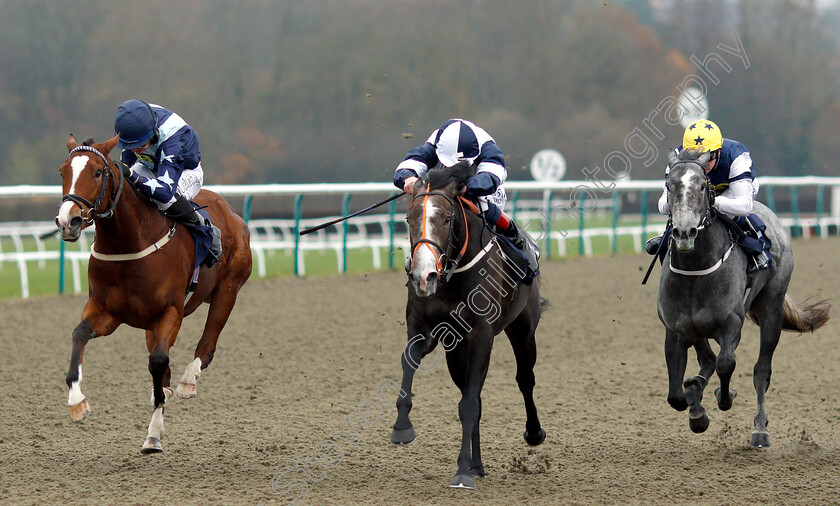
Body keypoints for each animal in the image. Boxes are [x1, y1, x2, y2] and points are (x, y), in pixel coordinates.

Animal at [56, 132, 253, 452]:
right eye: (63, 171)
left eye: (97, 172)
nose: (67, 221)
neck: (128, 243)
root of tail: (229, 209)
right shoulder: (105, 311)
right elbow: (79, 334)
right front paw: (77, 402)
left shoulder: (170, 311)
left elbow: (159, 361)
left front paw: (153, 435)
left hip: (228, 289)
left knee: (206, 346)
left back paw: (187, 382)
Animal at [390, 166, 548, 490]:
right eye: (409, 218)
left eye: (446, 218)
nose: (423, 276)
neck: (452, 275)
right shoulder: (424, 329)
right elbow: (410, 361)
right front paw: (402, 427)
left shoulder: (481, 336)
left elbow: (468, 406)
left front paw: (462, 471)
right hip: (456, 351)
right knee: (473, 393)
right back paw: (477, 465)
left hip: (523, 329)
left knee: (524, 379)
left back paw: (533, 433)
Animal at [660, 147, 832, 446]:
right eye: (669, 186)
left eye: (702, 186)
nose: (684, 232)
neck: (695, 272)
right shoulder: (676, 329)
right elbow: (676, 396)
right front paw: (697, 409)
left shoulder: (732, 322)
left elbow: (727, 364)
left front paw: (724, 395)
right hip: (699, 328)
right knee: (707, 358)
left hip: (772, 307)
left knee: (761, 369)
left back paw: (759, 429)